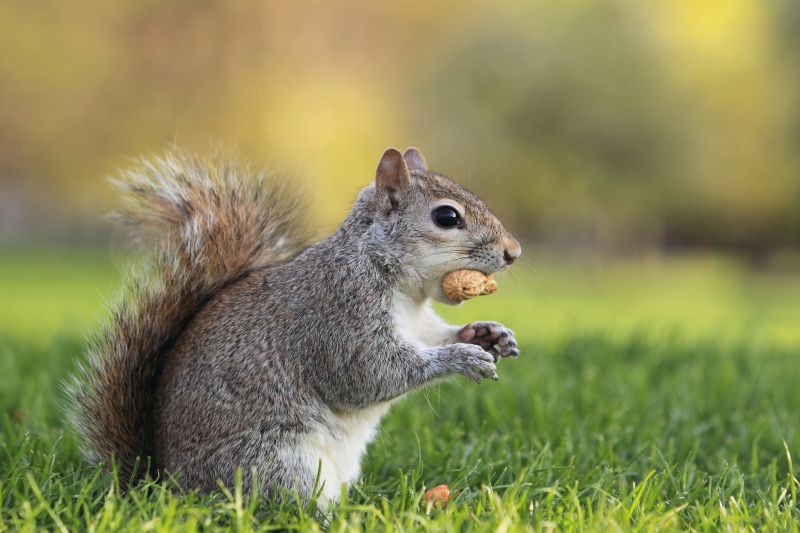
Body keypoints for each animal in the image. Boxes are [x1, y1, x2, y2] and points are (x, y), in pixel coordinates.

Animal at [67, 147, 522, 504]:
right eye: (446, 216)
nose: (513, 252)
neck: (404, 291)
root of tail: (166, 488)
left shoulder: (419, 325)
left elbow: (434, 336)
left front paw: (488, 334)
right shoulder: (339, 316)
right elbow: (369, 375)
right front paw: (461, 358)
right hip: (279, 464)